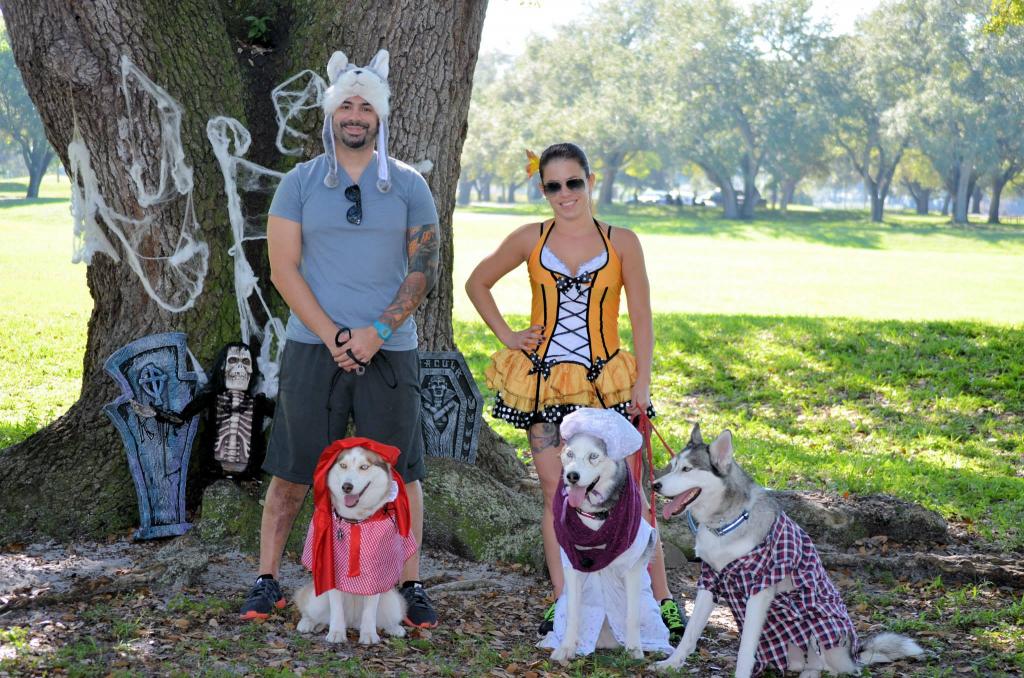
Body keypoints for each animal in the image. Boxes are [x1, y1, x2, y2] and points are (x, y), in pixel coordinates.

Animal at [292, 444, 411, 647]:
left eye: (364, 467)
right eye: (343, 465)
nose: (346, 487)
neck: (356, 520)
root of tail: (353, 622)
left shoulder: (376, 573)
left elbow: (370, 610)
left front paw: (369, 634)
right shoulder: (330, 570)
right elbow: (336, 608)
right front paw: (336, 633)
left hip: (392, 602)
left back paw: (394, 628)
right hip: (317, 599)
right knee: (310, 607)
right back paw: (308, 623)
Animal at [540, 409, 675, 663]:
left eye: (594, 456)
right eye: (570, 454)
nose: (572, 476)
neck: (595, 518)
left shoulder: (632, 569)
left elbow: (631, 614)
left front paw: (634, 648)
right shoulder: (572, 567)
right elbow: (573, 612)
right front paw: (566, 648)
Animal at [655, 428, 929, 675]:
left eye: (687, 469)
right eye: (672, 465)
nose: (655, 484)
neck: (726, 525)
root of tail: (854, 653)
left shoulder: (759, 589)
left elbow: (745, 649)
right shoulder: (711, 580)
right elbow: (690, 633)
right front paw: (672, 663)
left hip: (818, 627)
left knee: (829, 667)